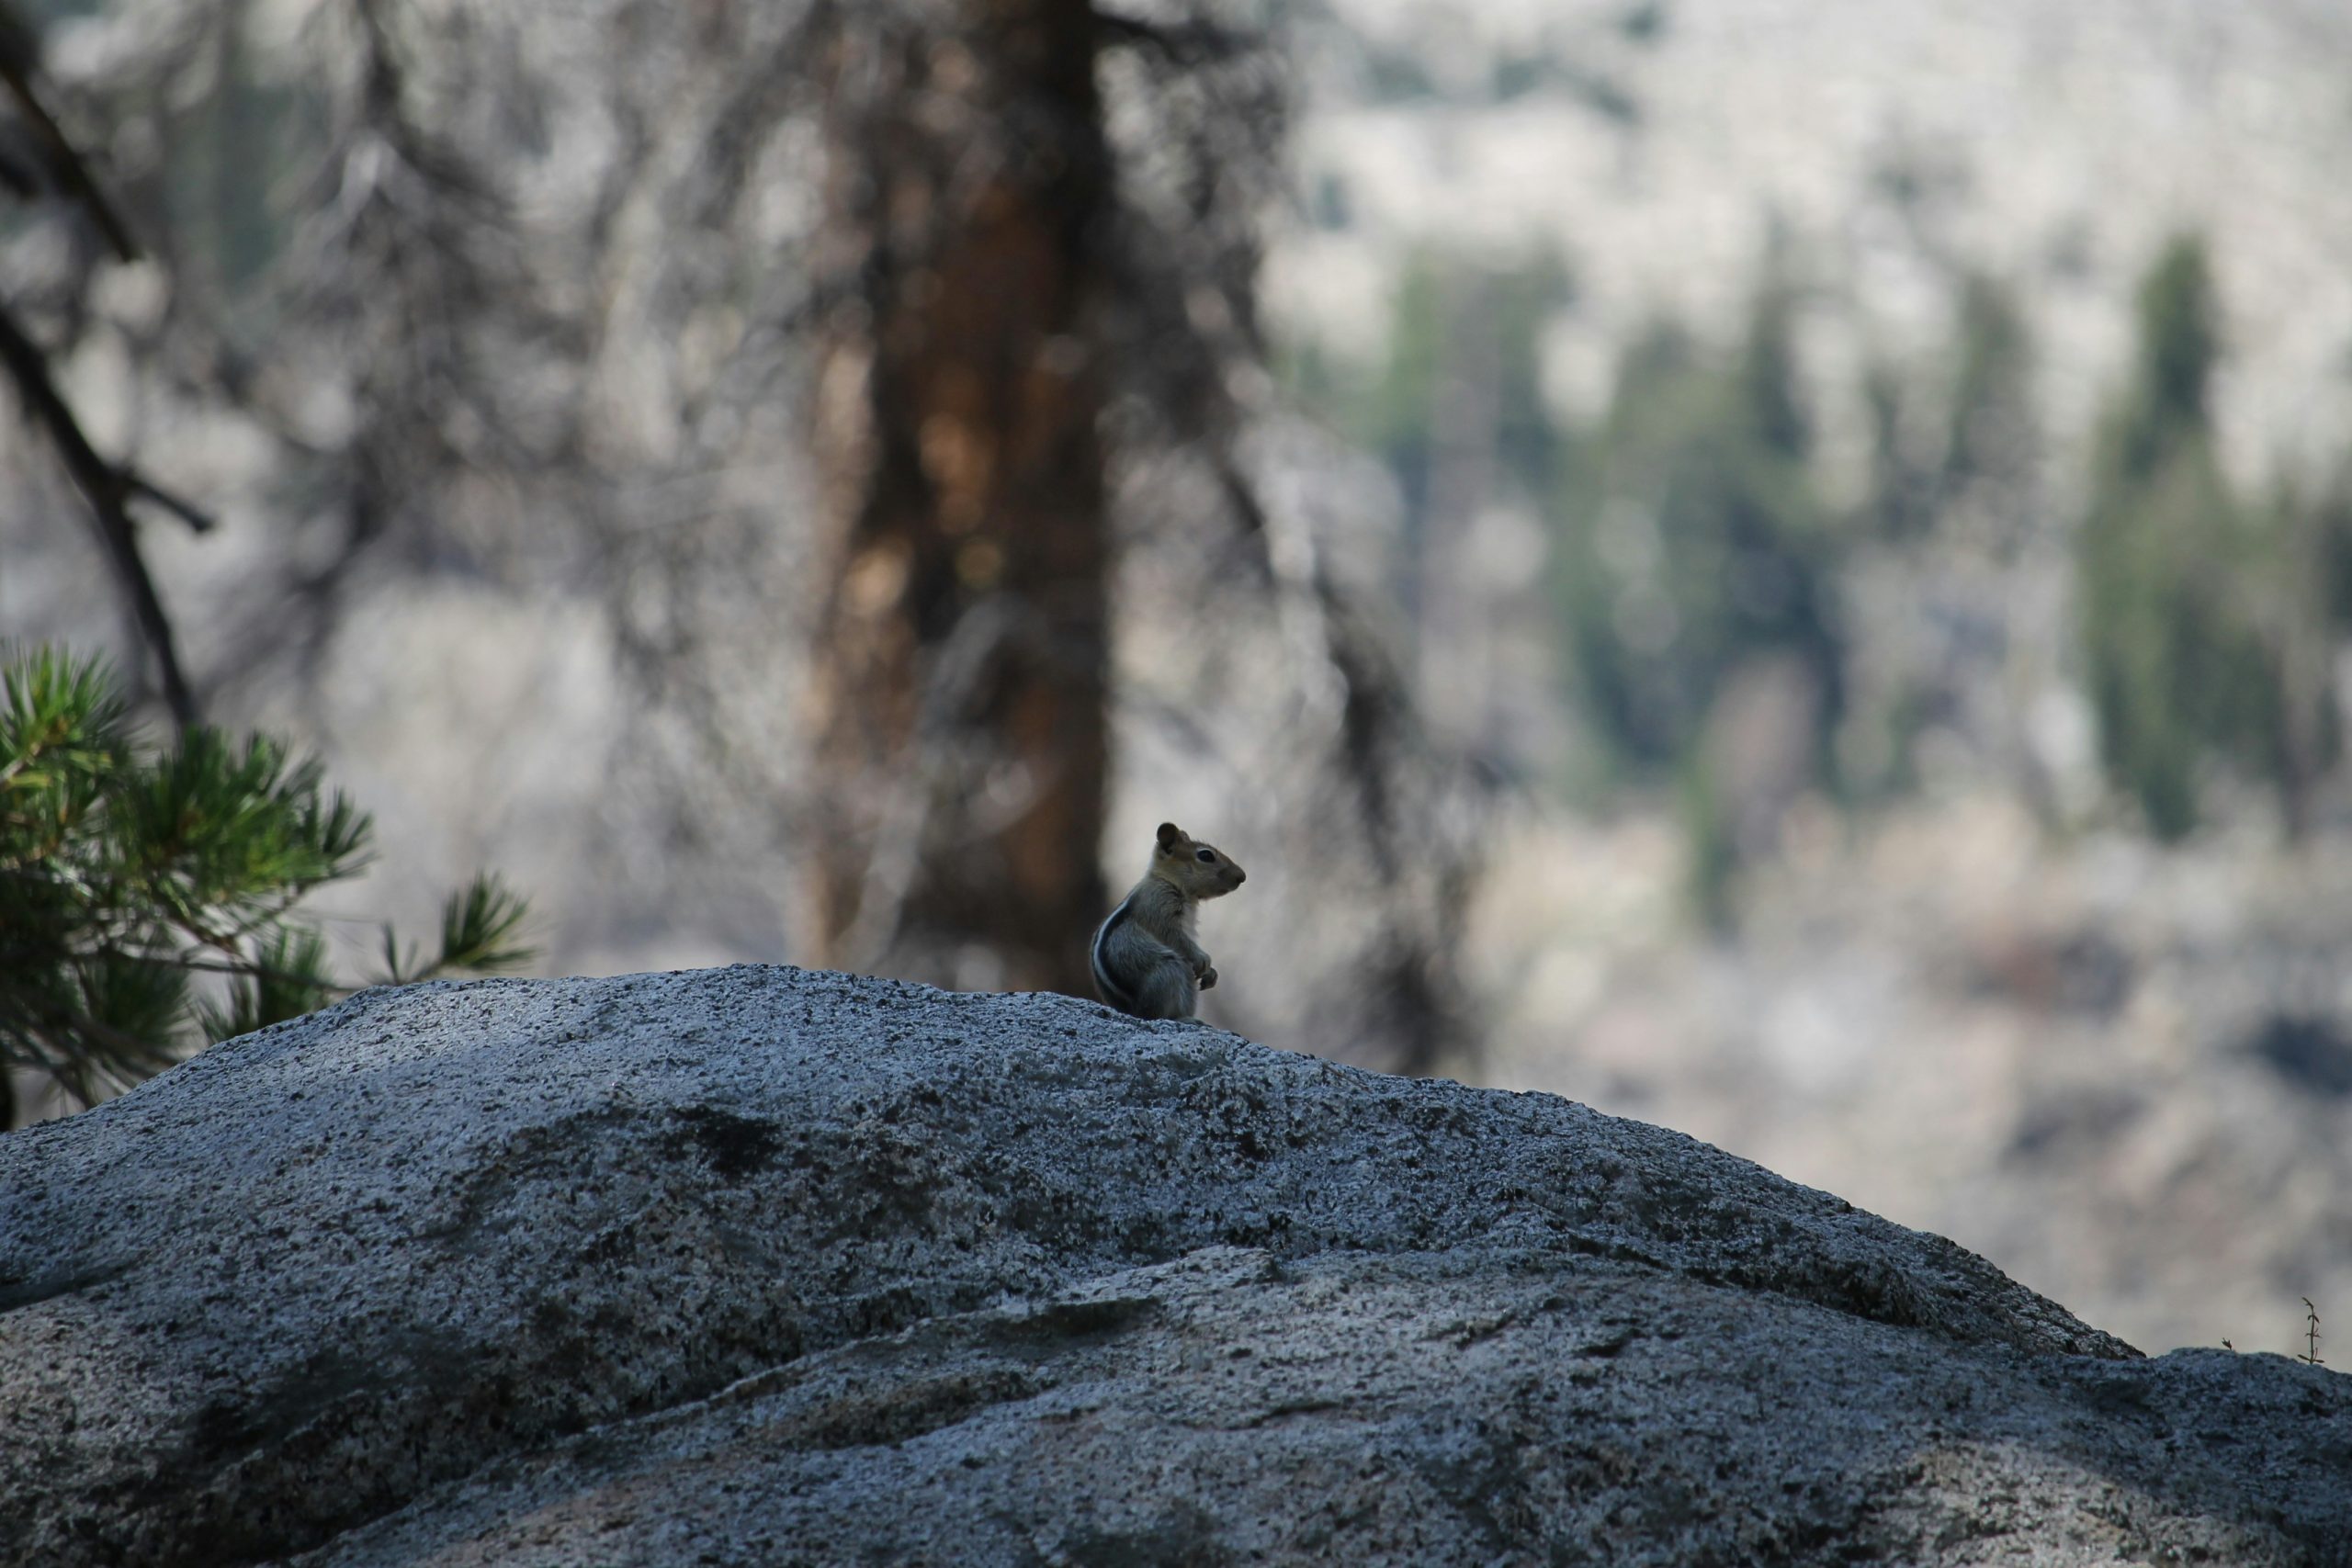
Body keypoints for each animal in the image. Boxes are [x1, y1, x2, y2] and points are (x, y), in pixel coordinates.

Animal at [1091, 822, 1250, 1020]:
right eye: (1206, 855)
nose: (1242, 876)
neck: (1166, 880)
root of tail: (1133, 1012)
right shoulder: (1159, 904)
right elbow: (1174, 936)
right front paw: (1204, 959)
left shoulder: (1188, 926)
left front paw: (1212, 973)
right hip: (1169, 969)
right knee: (1157, 1013)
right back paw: (1185, 1019)